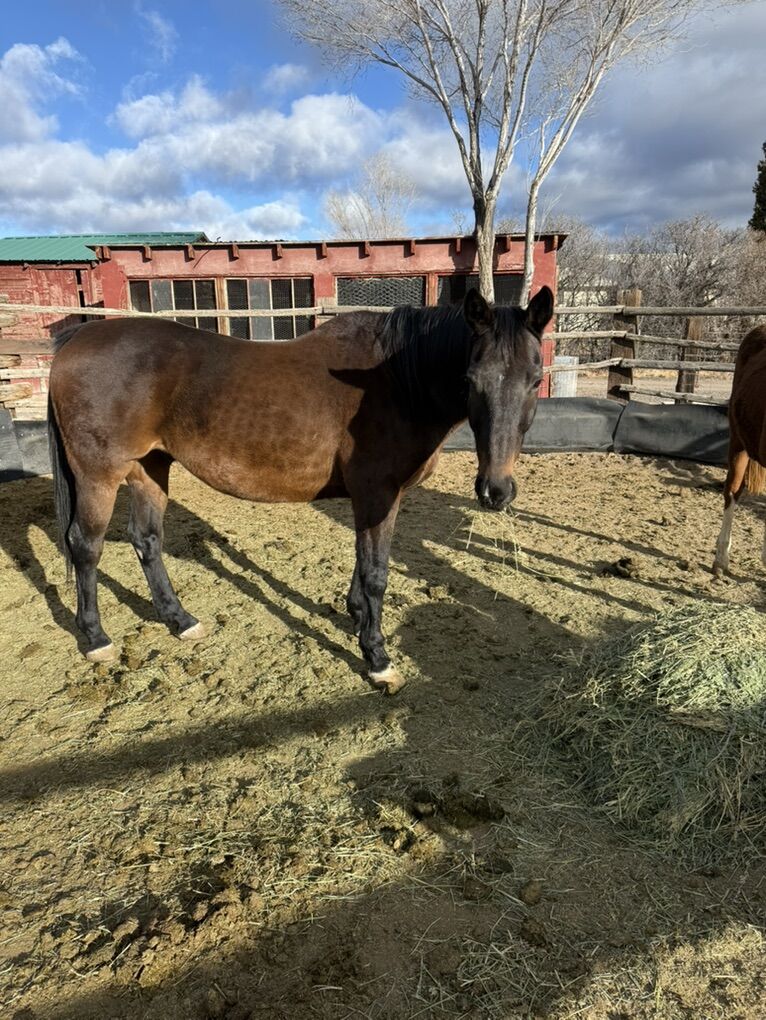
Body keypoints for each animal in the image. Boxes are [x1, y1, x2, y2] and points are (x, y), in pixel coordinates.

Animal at [47, 286, 553, 693]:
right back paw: (96, 639)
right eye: (471, 379)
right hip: (99, 476)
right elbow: (376, 573)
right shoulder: (378, 494)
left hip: (149, 468)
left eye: (535, 379)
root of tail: (76, 339)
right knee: (85, 546)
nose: (495, 490)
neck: (394, 383)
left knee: (147, 540)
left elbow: (363, 564)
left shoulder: (375, 499)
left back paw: (181, 621)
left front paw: (355, 615)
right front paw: (377, 657)